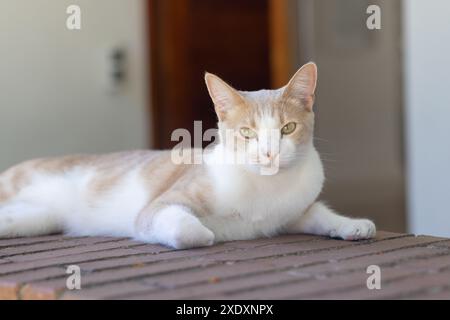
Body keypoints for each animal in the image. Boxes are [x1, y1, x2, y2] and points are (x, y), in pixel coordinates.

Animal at [0, 62, 376, 248]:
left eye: (287, 128)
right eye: (247, 133)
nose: (269, 154)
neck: (265, 189)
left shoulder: (293, 214)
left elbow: (319, 214)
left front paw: (351, 224)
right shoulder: (158, 207)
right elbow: (187, 229)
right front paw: (211, 231)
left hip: (37, 217)